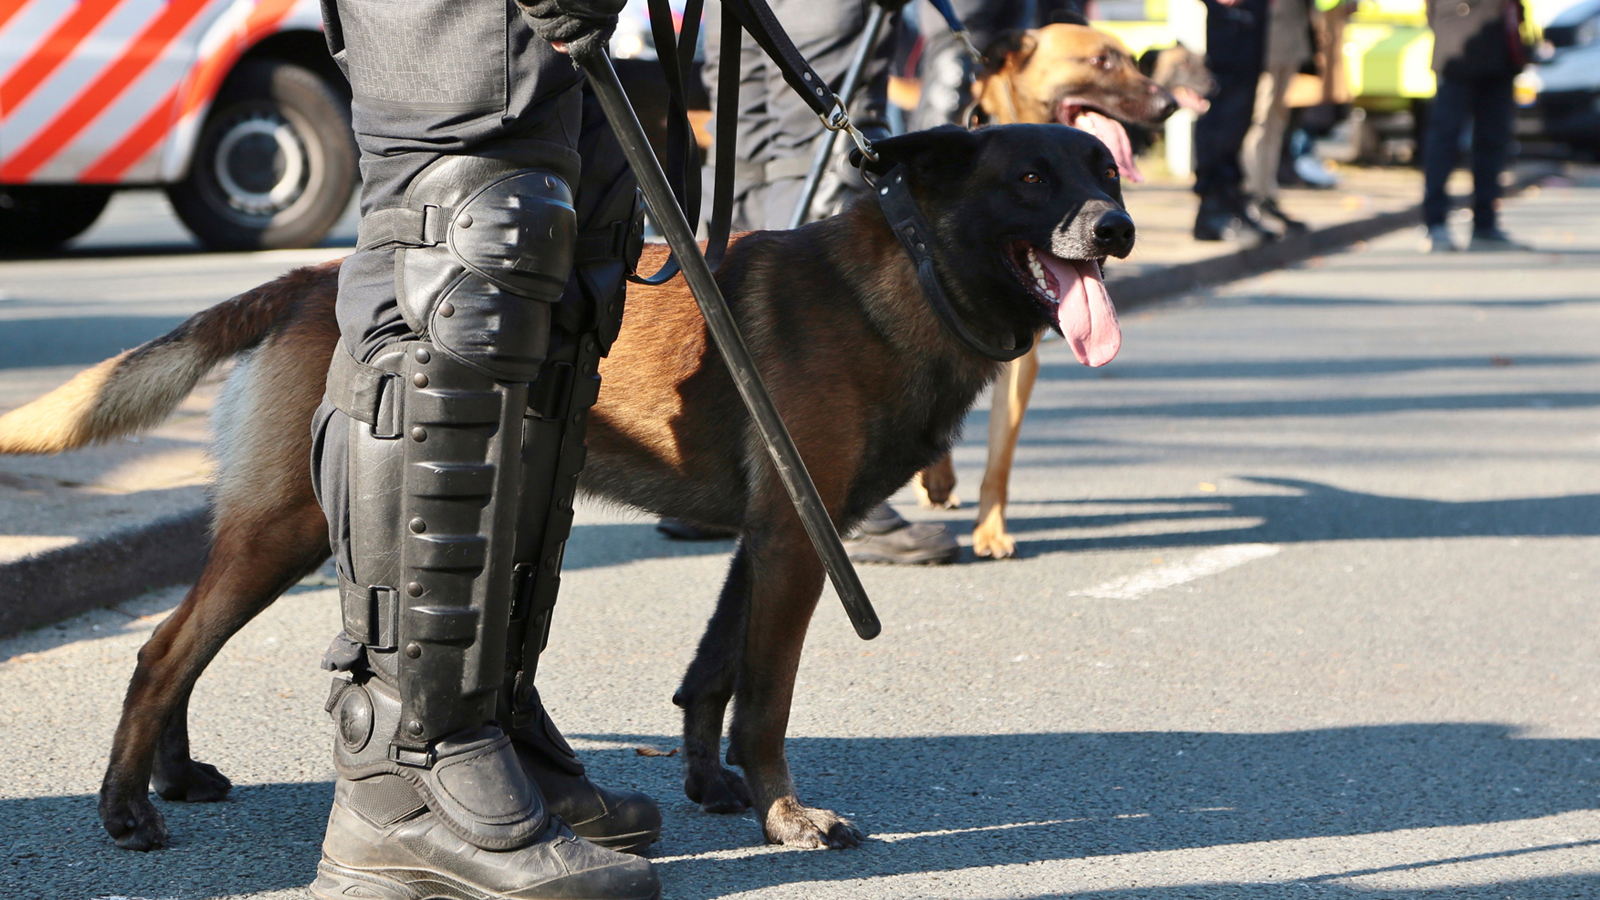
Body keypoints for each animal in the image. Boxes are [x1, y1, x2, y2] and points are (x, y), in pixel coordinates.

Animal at [0, 124, 1131, 852]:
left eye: (1105, 168)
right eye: (1031, 176)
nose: (1116, 228)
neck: (907, 276)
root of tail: (302, 281)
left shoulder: (769, 540)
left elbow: (711, 677)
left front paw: (710, 786)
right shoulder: (798, 547)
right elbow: (765, 700)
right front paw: (786, 816)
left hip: (291, 529)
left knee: (183, 648)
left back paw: (175, 777)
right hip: (290, 528)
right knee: (162, 649)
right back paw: (126, 810)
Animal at [909, 23, 1177, 560]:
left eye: (1131, 58)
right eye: (1100, 61)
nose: (1170, 104)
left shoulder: (1019, 366)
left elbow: (1000, 459)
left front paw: (990, 530)